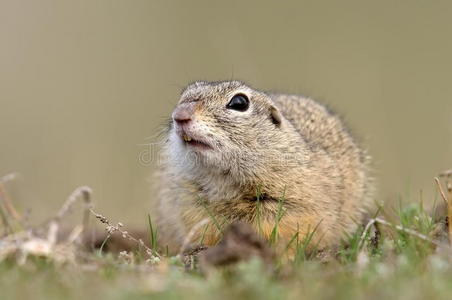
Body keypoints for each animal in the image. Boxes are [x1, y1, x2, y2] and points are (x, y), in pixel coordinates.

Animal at [154, 81, 372, 254]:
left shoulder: (292, 206)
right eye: (183, 95)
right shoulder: (191, 204)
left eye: (239, 103)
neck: (225, 183)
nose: (179, 115)